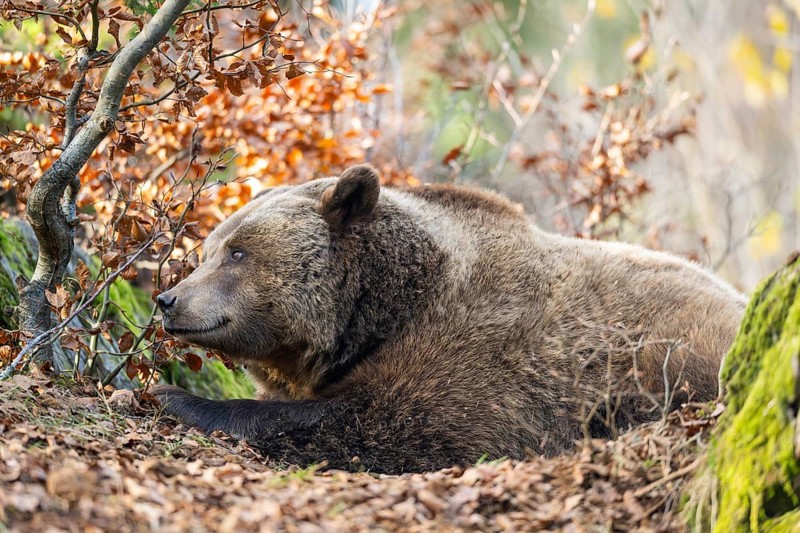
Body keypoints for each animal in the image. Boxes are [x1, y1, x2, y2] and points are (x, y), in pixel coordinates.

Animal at [154, 164, 746, 474]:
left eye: (238, 253)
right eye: (209, 249)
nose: (168, 299)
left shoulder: (478, 354)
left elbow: (382, 426)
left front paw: (174, 395)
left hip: (676, 353)